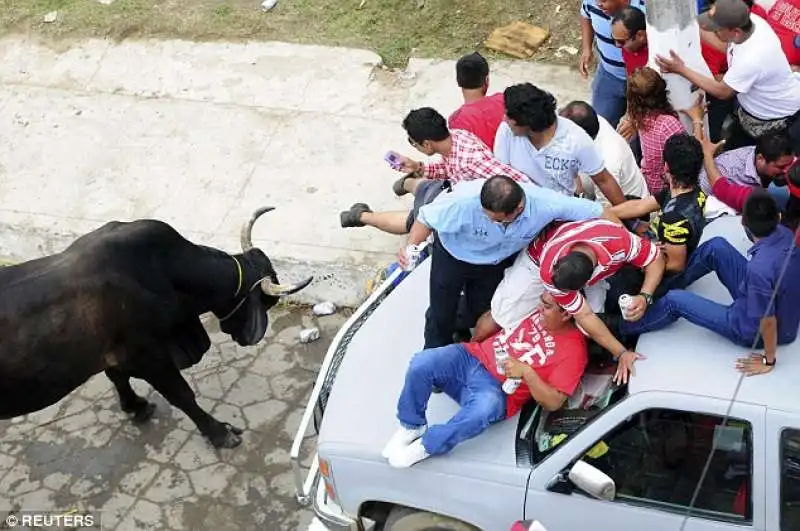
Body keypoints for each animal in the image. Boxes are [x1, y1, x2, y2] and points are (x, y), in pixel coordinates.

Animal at [0, 208, 312, 448]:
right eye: (267, 300)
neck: (166, 272)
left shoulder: (115, 355)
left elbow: (117, 377)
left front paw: (135, 406)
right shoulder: (149, 356)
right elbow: (182, 396)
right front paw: (221, 433)